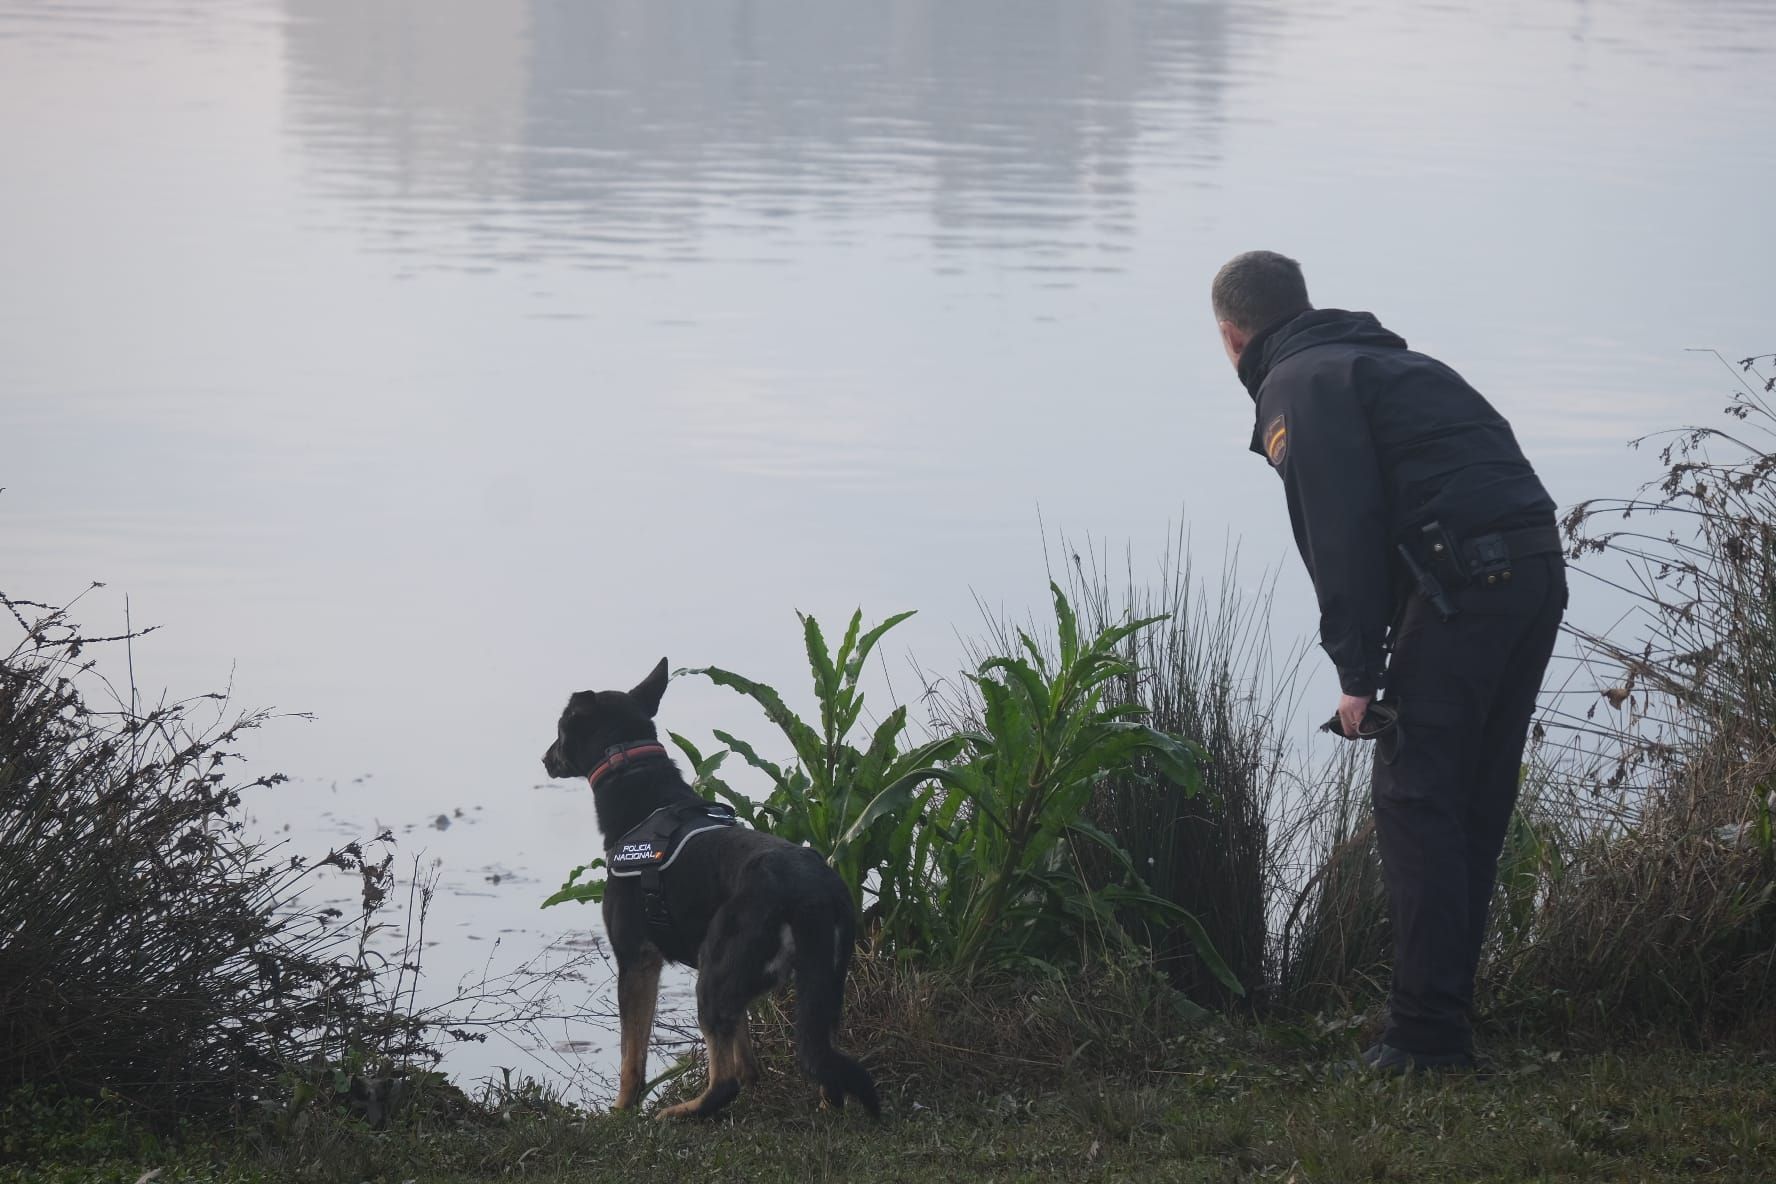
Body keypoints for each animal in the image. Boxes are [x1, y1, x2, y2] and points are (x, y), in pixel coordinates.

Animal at [536, 663, 877, 1128]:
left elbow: (631, 1059)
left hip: (712, 980)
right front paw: (755, 1082)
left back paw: (679, 1112)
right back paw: (824, 1105)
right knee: (822, 1062)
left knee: (723, 1084)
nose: (544, 758)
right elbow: (745, 1050)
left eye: (560, 728)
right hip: (814, 985)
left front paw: (621, 1112)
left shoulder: (637, 962)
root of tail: (813, 895)